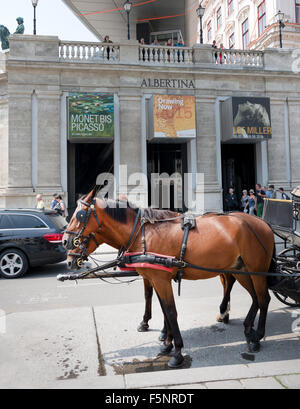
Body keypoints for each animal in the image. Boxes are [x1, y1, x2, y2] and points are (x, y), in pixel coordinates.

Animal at [62, 190, 274, 366]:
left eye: (80, 215)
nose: (65, 243)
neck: (142, 233)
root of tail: (263, 223)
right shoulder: (156, 278)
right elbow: (163, 308)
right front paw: (166, 342)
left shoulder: (161, 279)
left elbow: (170, 312)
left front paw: (177, 351)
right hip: (242, 270)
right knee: (254, 297)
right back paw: (247, 328)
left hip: (257, 270)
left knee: (263, 299)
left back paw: (256, 336)